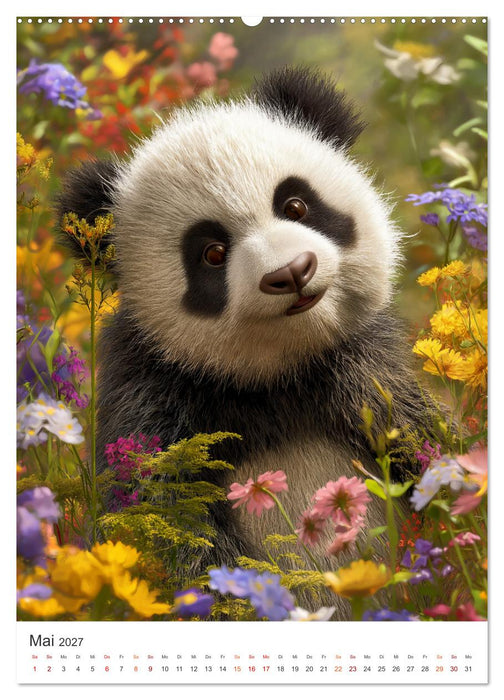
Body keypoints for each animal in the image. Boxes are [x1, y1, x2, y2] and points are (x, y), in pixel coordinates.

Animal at [58, 67, 436, 616]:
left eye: (295, 204)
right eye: (212, 252)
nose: (292, 273)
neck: (274, 379)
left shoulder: (364, 369)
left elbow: (421, 441)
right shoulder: (154, 395)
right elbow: (171, 524)